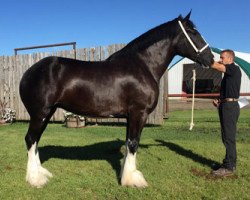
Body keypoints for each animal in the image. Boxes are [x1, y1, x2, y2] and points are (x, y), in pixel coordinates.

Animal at [20, 12, 214, 188]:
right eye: (193, 32)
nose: (211, 58)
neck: (142, 66)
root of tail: (28, 73)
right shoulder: (139, 113)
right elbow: (133, 144)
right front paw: (132, 180)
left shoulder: (130, 115)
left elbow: (129, 143)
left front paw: (125, 175)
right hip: (40, 113)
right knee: (30, 139)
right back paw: (35, 179)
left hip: (47, 113)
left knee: (36, 140)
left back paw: (41, 173)